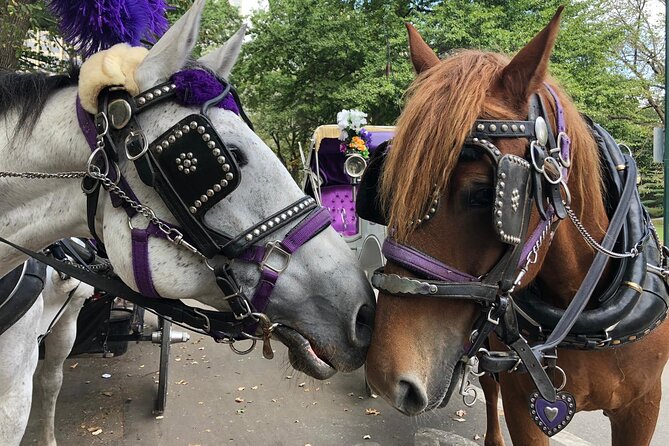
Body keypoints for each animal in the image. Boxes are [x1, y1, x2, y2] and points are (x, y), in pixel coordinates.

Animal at [360, 7, 669, 446]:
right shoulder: (522, 403)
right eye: (386, 194)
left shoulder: (643, 407)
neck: (583, 316)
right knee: (489, 391)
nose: (387, 379)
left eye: (483, 193)